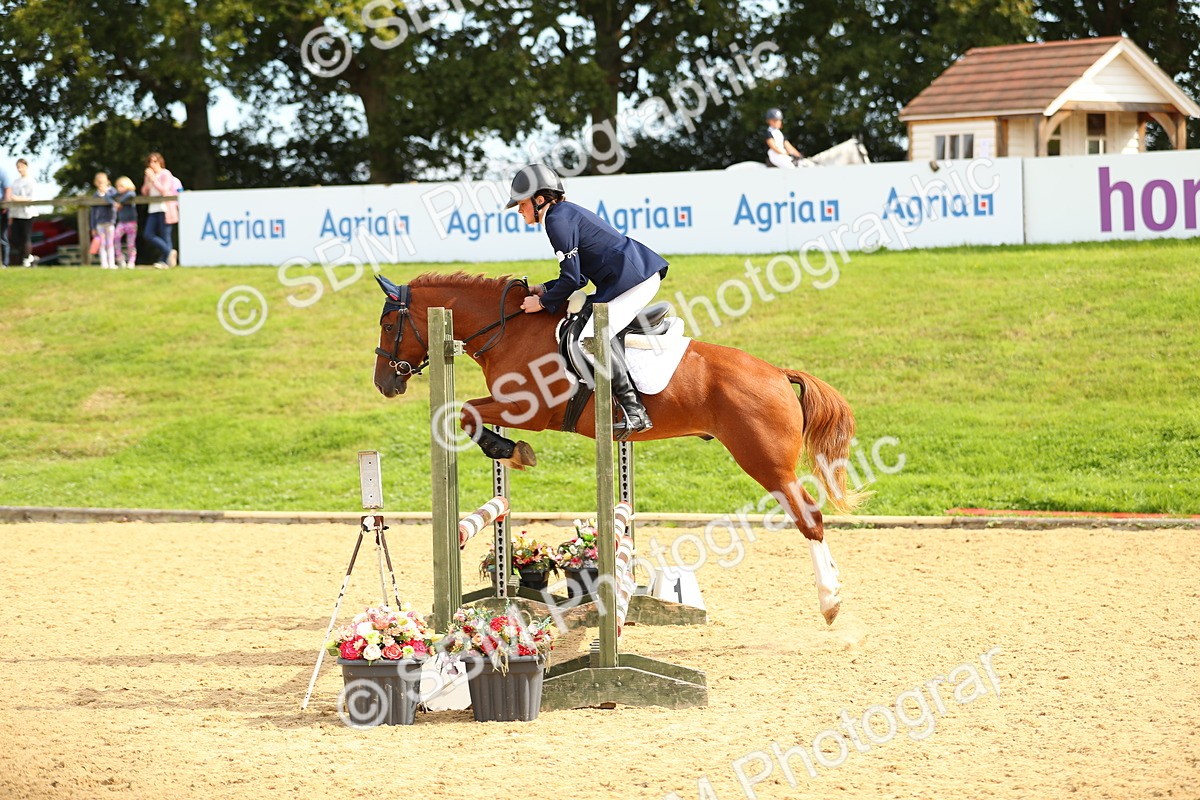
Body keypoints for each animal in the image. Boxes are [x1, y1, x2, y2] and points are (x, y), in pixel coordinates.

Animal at [372, 272, 865, 623]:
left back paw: (831, 602)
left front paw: (510, 450)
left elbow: (464, 413)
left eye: (388, 324)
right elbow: (468, 413)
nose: (384, 384)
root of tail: (778, 373)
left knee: (810, 518)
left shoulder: (529, 410)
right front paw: (509, 450)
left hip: (765, 462)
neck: (508, 331)